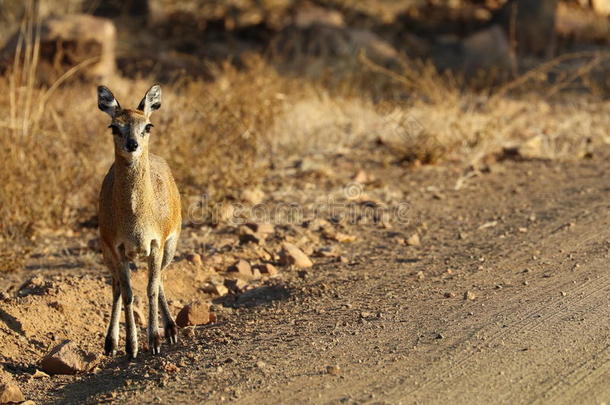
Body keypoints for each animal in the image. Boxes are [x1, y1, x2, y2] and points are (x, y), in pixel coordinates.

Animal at [97, 83, 180, 358]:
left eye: (148, 125)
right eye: (114, 126)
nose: (132, 144)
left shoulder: (156, 244)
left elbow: (151, 289)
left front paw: (154, 340)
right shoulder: (117, 248)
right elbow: (128, 294)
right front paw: (131, 345)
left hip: (169, 247)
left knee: (160, 278)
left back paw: (171, 330)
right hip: (107, 254)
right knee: (116, 288)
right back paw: (110, 343)